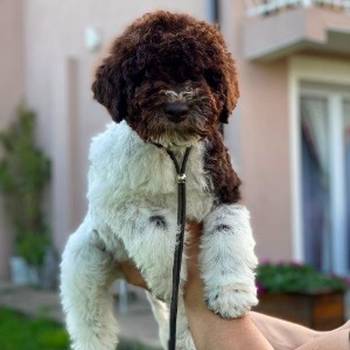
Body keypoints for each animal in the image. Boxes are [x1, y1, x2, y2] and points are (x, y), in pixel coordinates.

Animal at [59, 10, 258, 350]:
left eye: (203, 73)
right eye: (146, 73)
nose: (177, 107)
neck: (174, 154)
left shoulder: (225, 189)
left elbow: (228, 232)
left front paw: (232, 293)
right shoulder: (116, 199)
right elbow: (156, 228)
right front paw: (168, 278)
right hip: (84, 263)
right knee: (91, 321)